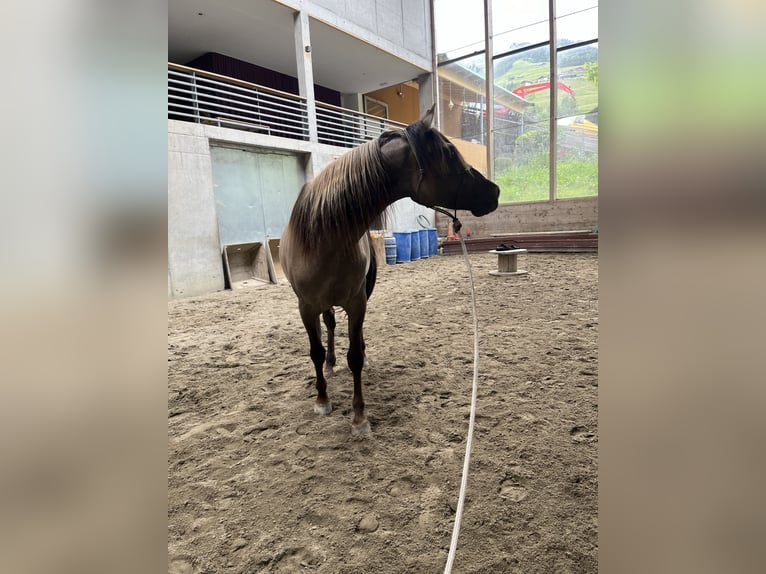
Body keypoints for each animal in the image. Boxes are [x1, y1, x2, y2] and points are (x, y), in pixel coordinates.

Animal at [280, 104, 500, 436]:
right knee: (329, 326)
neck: (324, 237)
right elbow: (315, 351)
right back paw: (330, 365)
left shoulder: (357, 302)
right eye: (449, 152)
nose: (494, 192)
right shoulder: (305, 306)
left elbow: (355, 356)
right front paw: (322, 400)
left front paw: (359, 417)